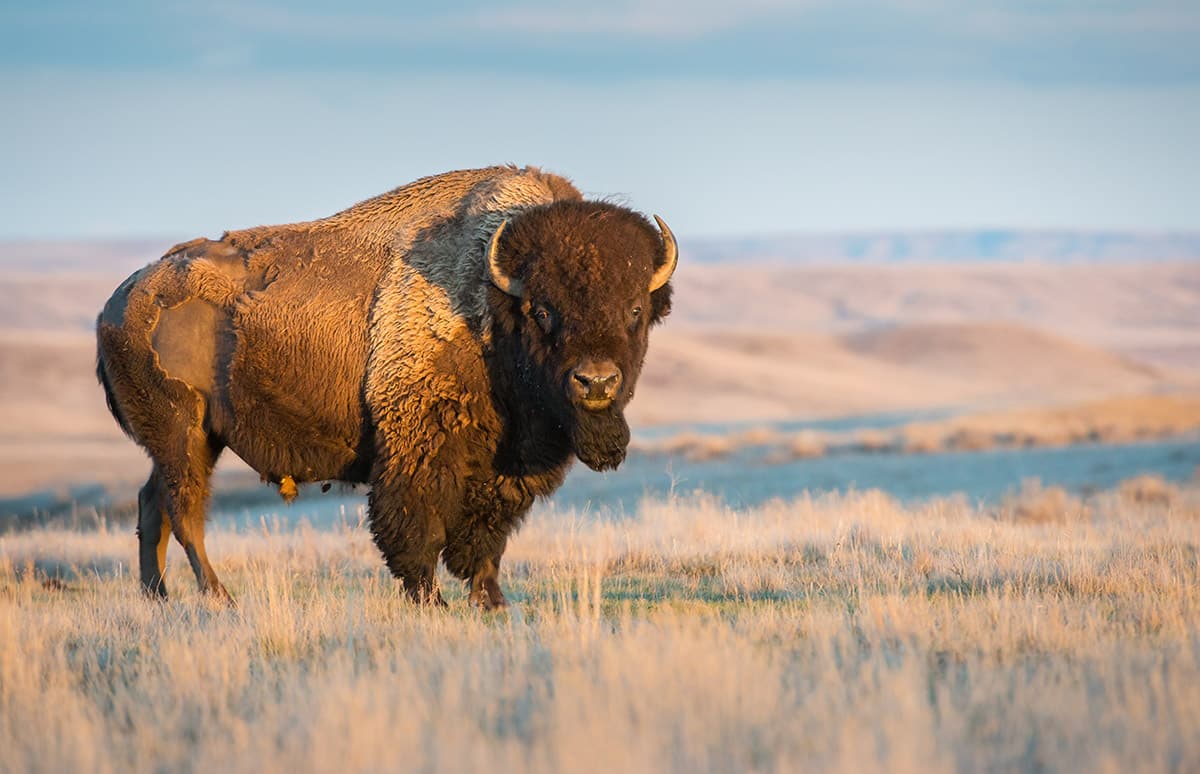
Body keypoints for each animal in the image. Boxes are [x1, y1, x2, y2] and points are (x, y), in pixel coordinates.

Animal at [95, 166, 676, 608]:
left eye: (635, 310)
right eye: (542, 311)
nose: (596, 382)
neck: (489, 303)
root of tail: (119, 302)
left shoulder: (505, 468)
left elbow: (487, 537)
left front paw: (491, 601)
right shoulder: (418, 448)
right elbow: (417, 528)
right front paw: (432, 601)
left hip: (191, 440)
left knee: (152, 504)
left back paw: (158, 597)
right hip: (184, 433)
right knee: (184, 511)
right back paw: (219, 597)